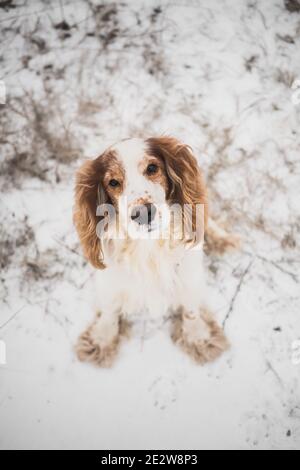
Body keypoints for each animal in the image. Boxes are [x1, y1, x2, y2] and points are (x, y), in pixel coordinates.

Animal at [73, 136, 239, 368]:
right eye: (113, 182)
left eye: (152, 168)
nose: (143, 213)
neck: (148, 245)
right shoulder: (110, 279)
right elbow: (109, 309)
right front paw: (102, 339)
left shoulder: (189, 274)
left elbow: (191, 309)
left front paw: (198, 337)